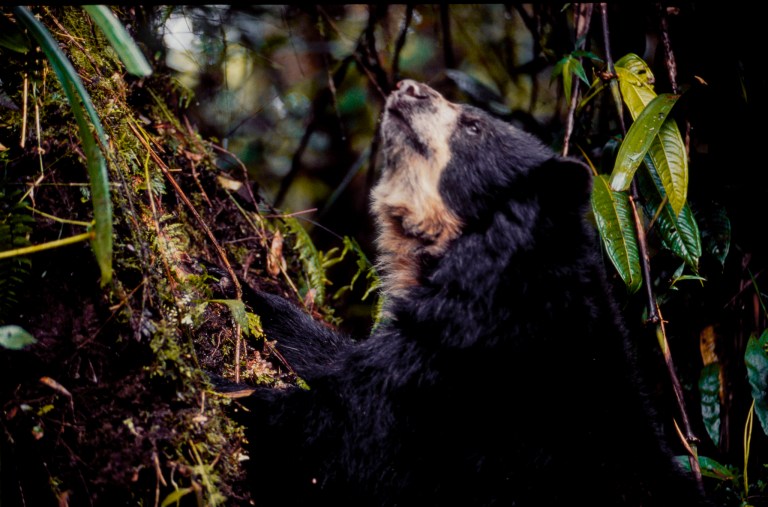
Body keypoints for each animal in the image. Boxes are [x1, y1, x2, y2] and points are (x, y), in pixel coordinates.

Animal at [233, 79, 709, 506]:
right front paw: (237, 285)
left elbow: (343, 433)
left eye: (473, 125)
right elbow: (333, 357)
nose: (407, 87)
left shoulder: (463, 368)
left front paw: (230, 395)